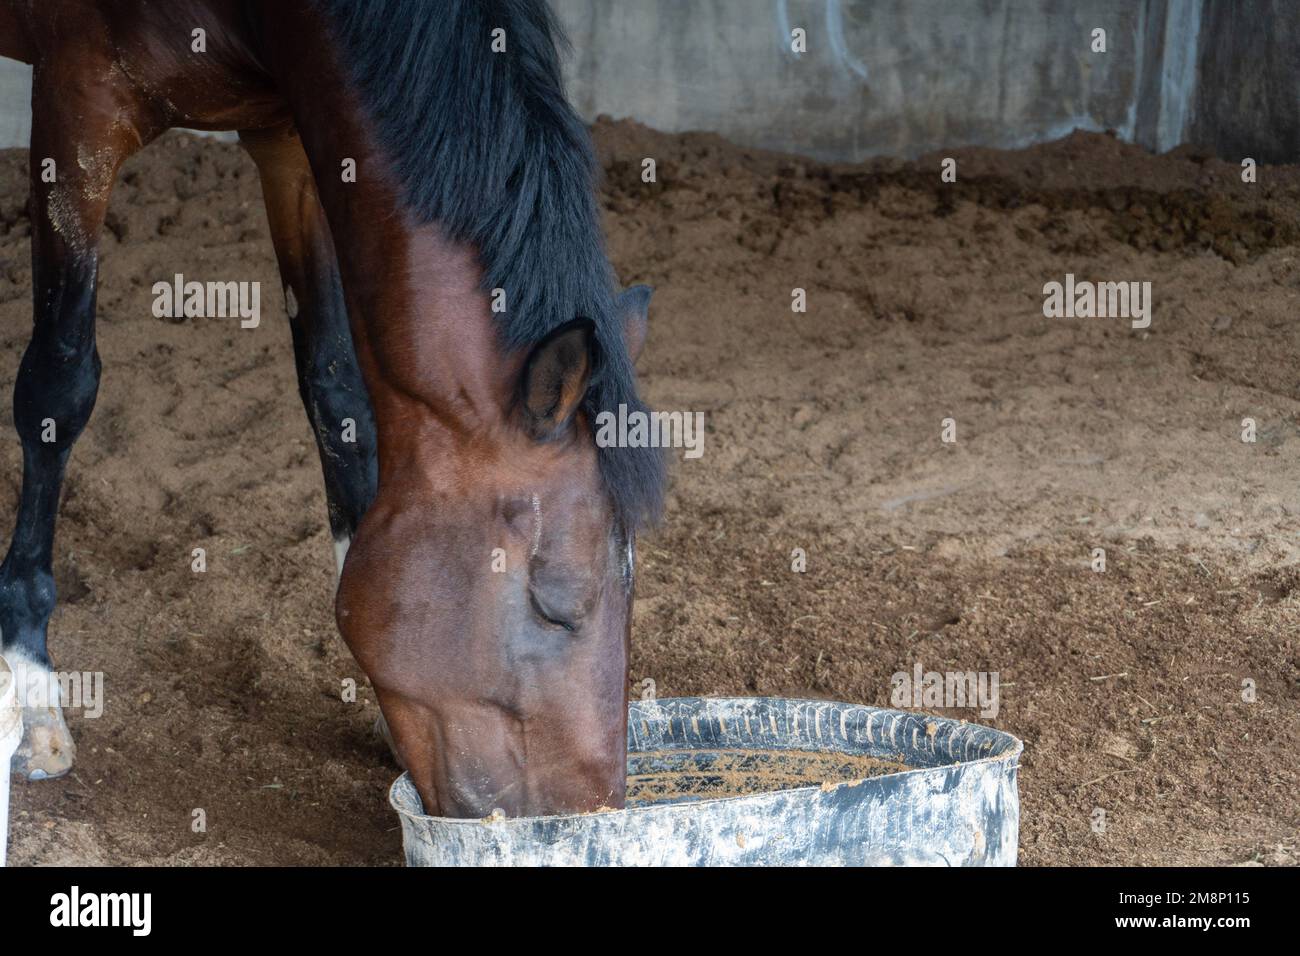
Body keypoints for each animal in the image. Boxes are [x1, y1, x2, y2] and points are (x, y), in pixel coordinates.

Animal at [0, 1, 665, 822]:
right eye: (555, 607)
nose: (590, 813)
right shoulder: (78, 98)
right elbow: (59, 387)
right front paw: (30, 686)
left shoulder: (293, 134)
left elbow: (336, 387)